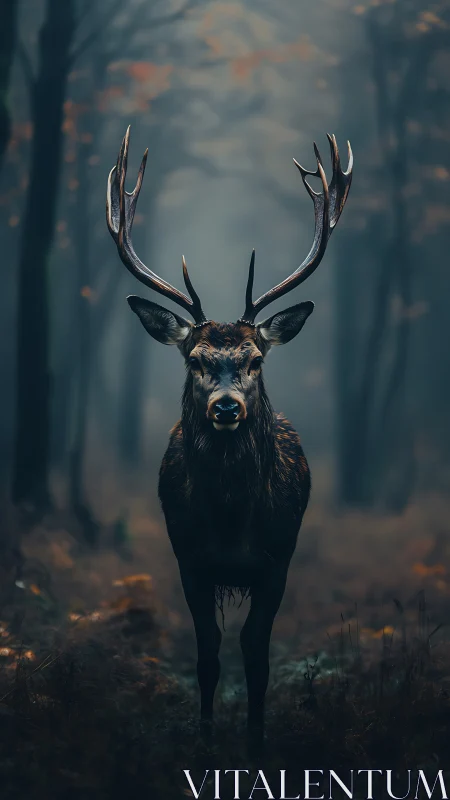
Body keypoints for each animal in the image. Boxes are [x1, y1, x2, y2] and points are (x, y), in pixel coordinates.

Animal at [106, 127, 352, 751]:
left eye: (255, 359)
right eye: (195, 358)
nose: (225, 406)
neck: (231, 521)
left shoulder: (277, 560)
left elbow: (256, 655)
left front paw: (257, 739)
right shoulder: (189, 559)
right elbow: (208, 655)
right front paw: (205, 734)